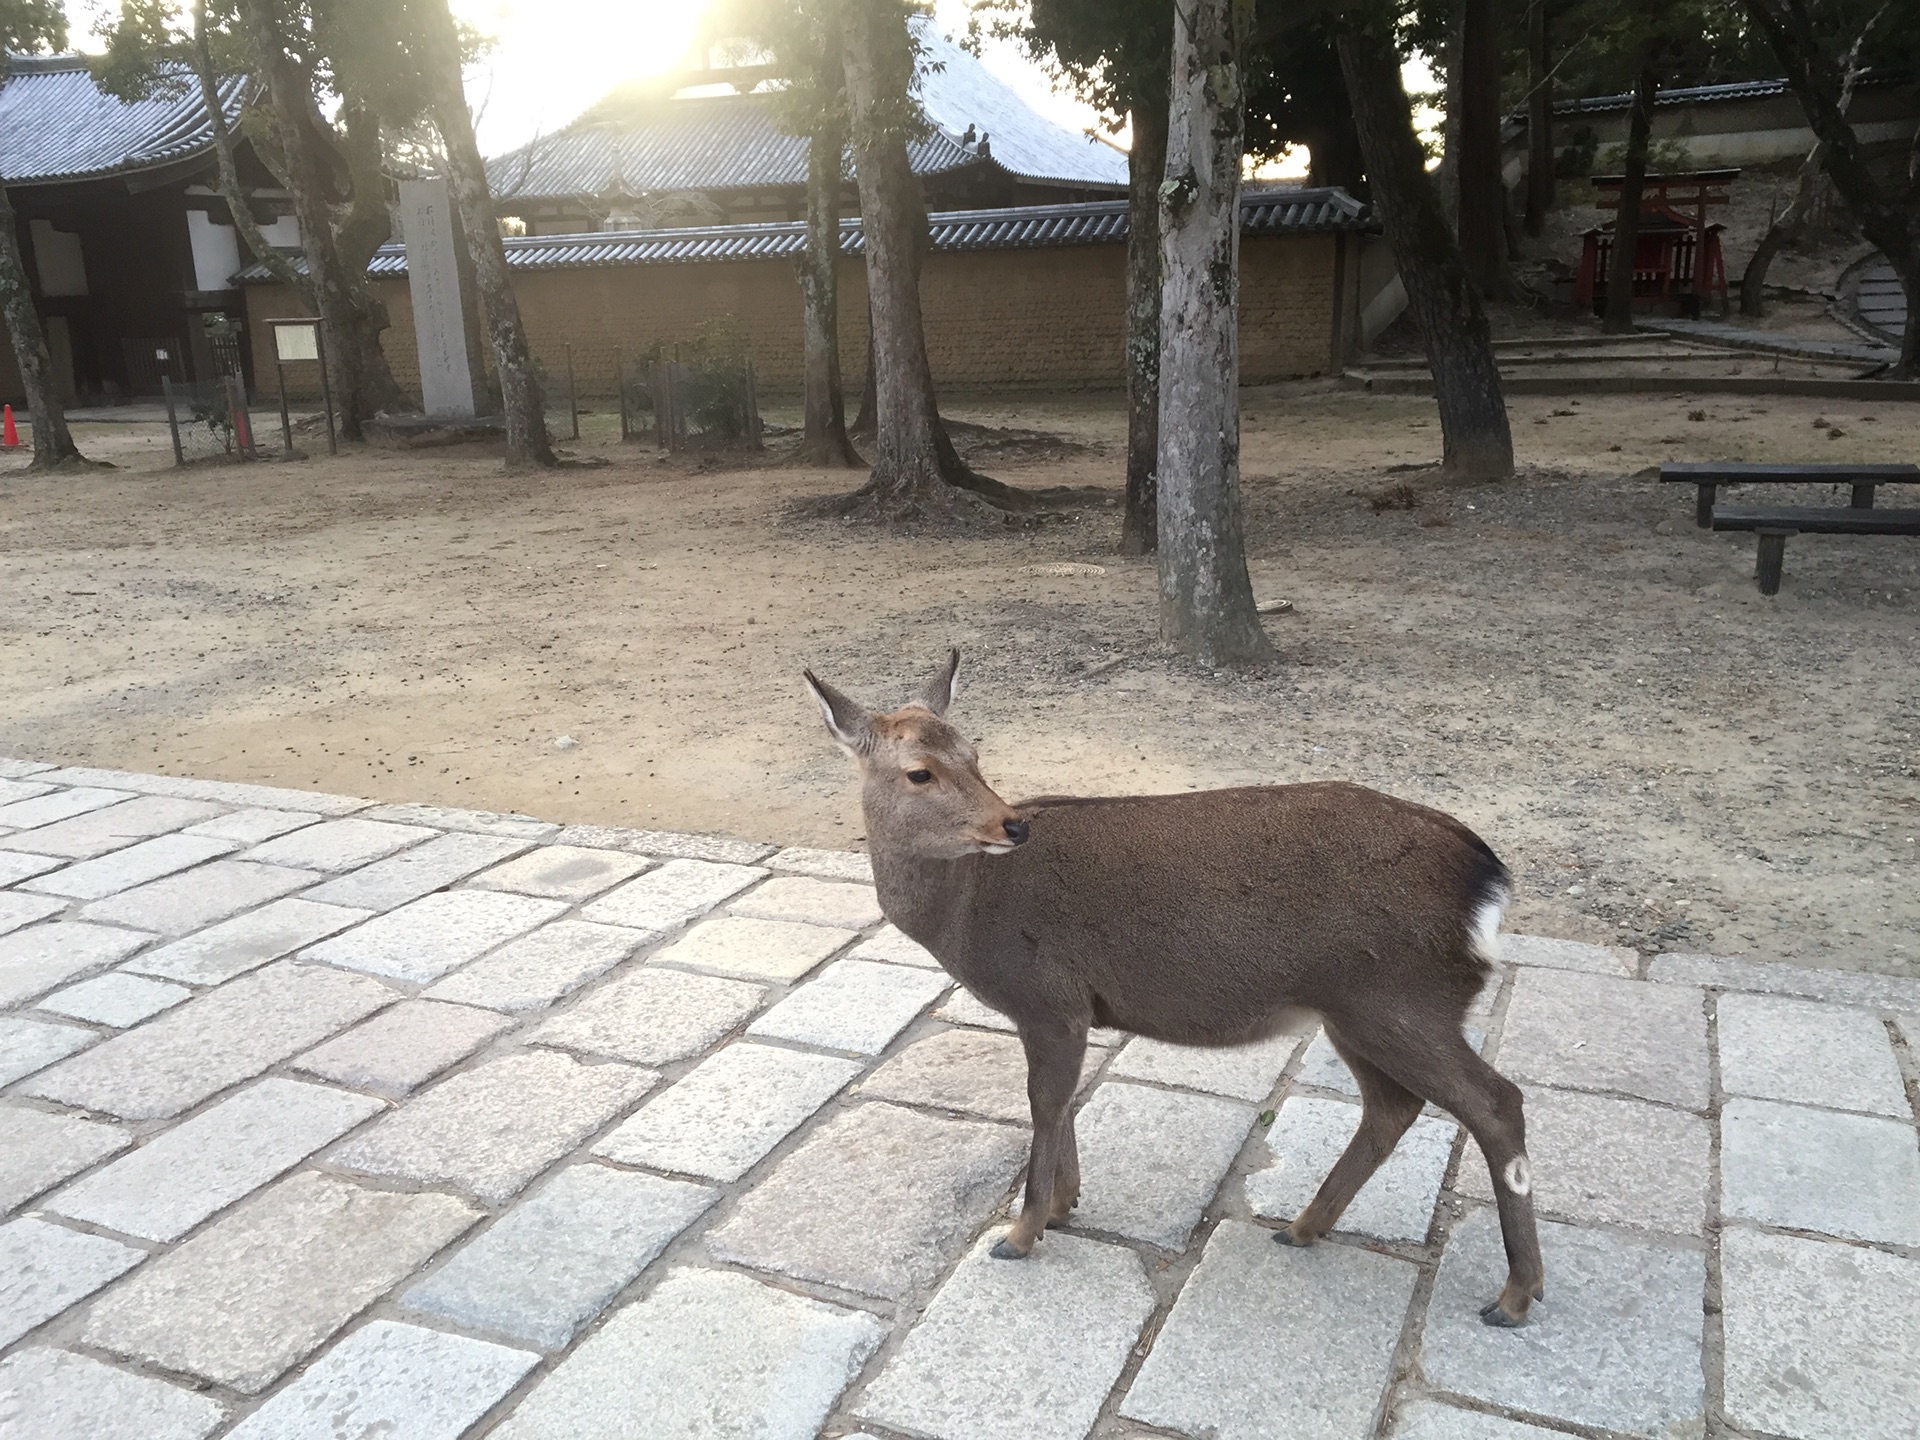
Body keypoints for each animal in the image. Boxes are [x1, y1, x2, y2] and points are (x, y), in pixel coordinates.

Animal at [806, 652, 1543, 1328]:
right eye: (920, 771)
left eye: (975, 753)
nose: (1011, 825)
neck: (962, 918)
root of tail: (1487, 878)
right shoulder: (1065, 1012)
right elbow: (1063, 1102)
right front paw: (1066, 1205)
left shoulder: (1049, 997)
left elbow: (1044, 1104)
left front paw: (1021, 1232)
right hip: (1357, 1010)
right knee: (1394, 1107)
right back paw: (1303, 1227)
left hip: (1399, 999)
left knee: (1495, 1102)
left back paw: (1513, 1296)